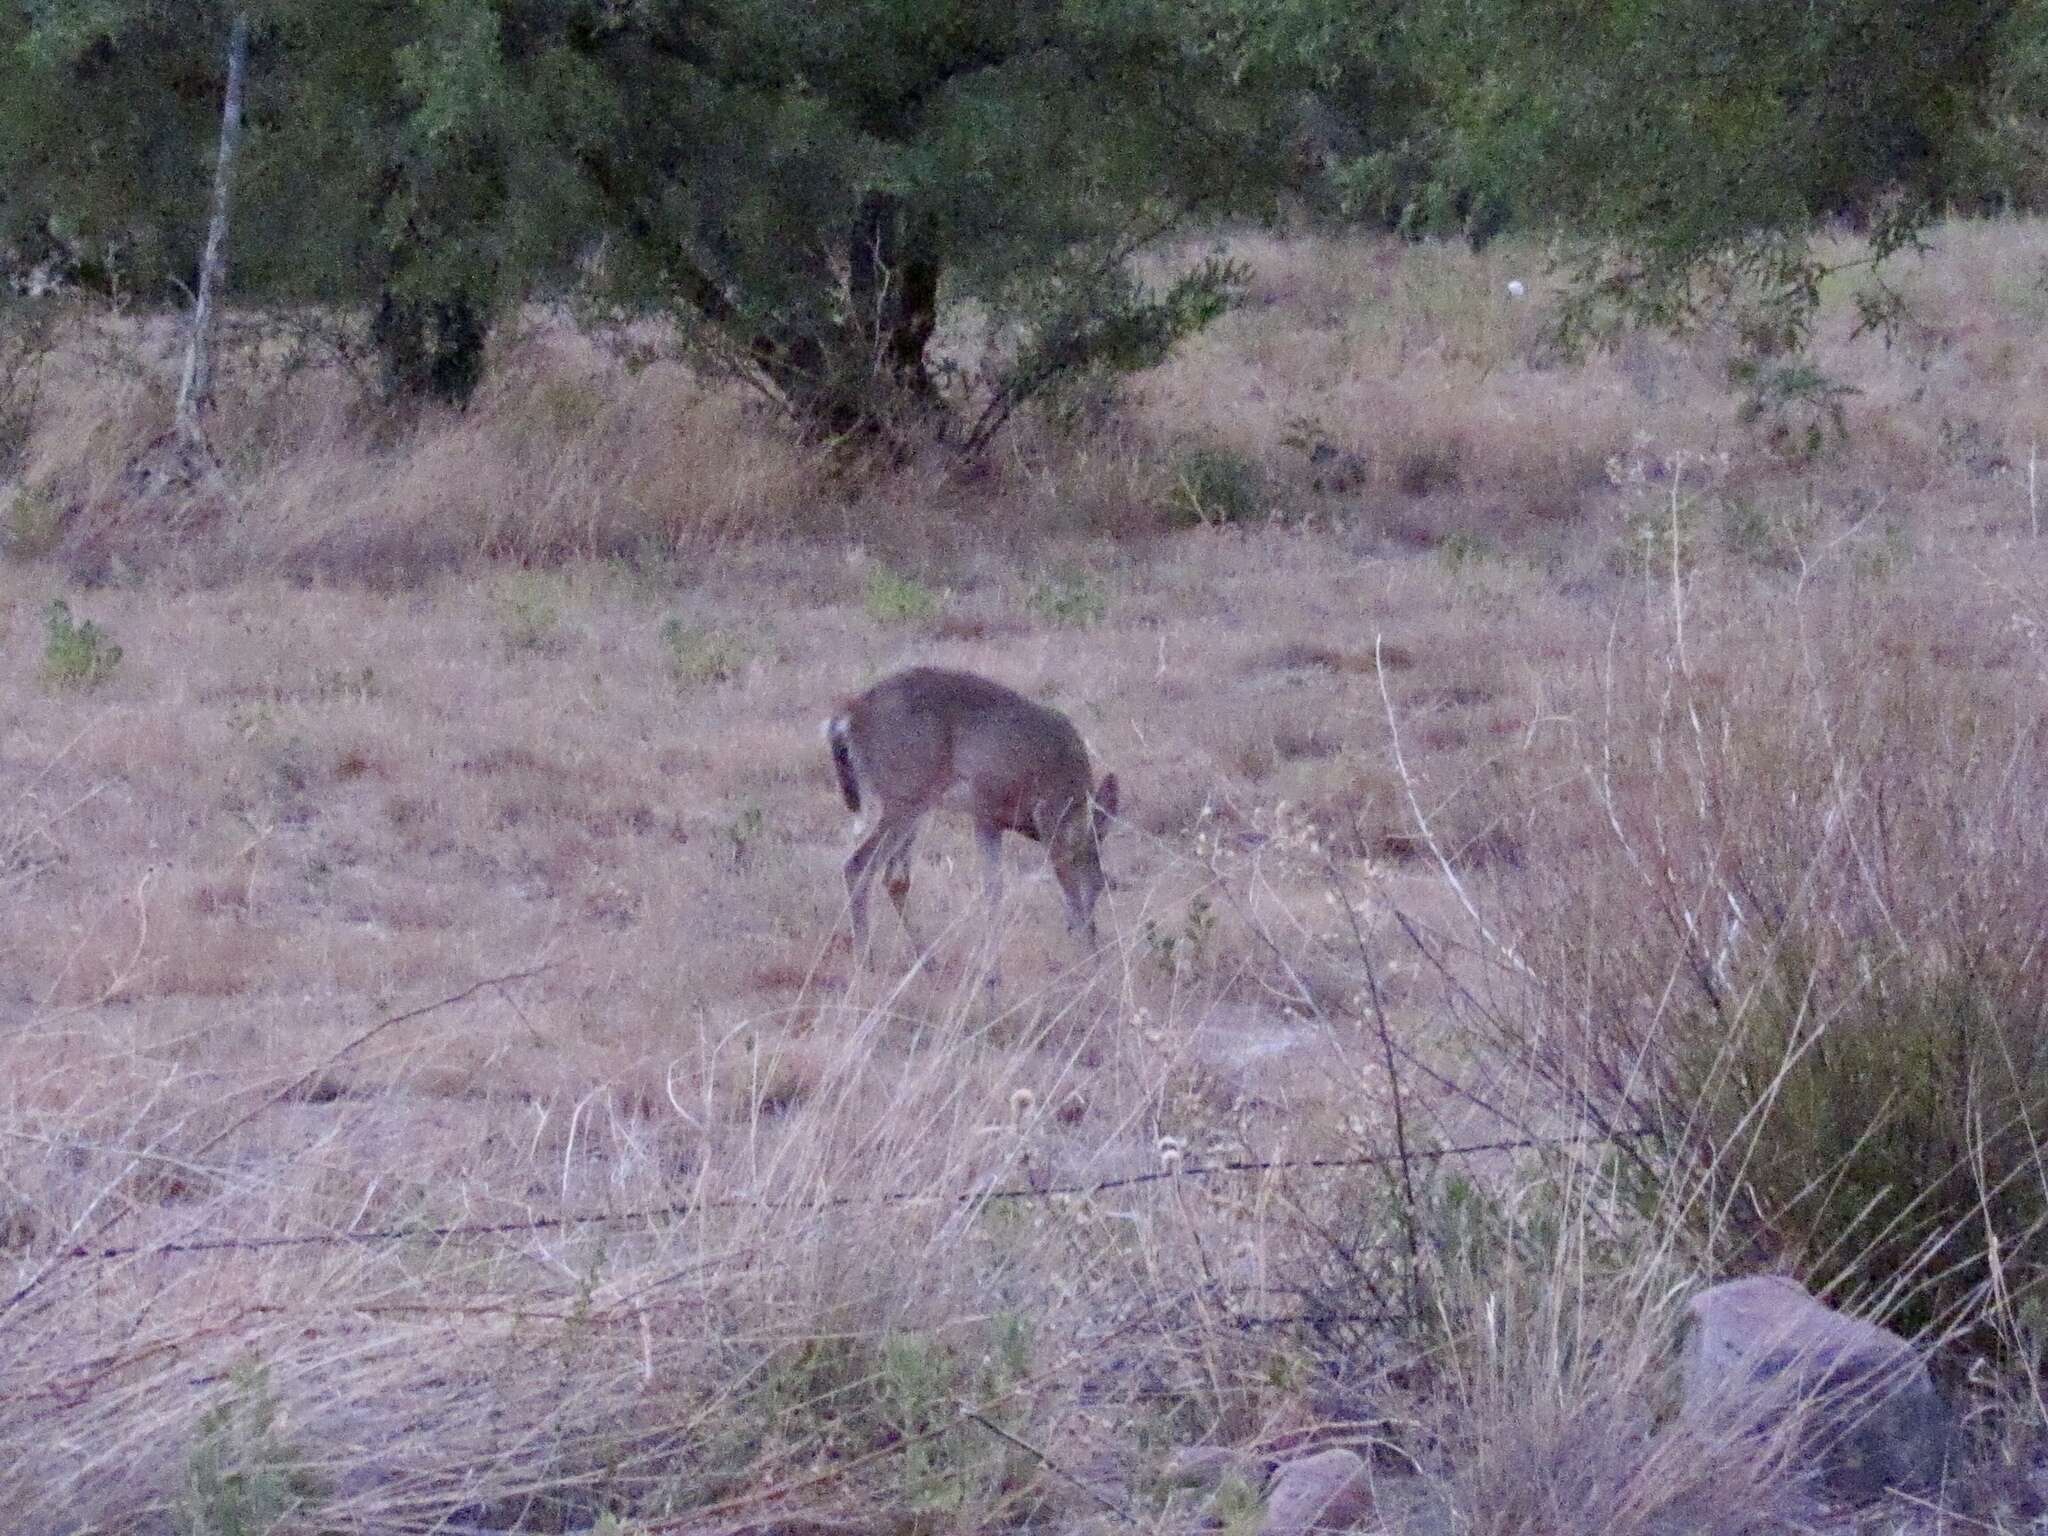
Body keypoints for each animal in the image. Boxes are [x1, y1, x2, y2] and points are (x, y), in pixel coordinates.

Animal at [823, 671, 1122, 966]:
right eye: (1101, 885)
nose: (1095, 932)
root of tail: (849, 716)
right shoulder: (1050, 812)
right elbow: (1068, 891)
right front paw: (1090, 959)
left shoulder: (987, 818)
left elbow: (993, 889)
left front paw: (991, 968)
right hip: (906, 794)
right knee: (858, 866)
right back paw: (867, 961)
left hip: (912, 801)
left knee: (895, 878)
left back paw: (927, 959)